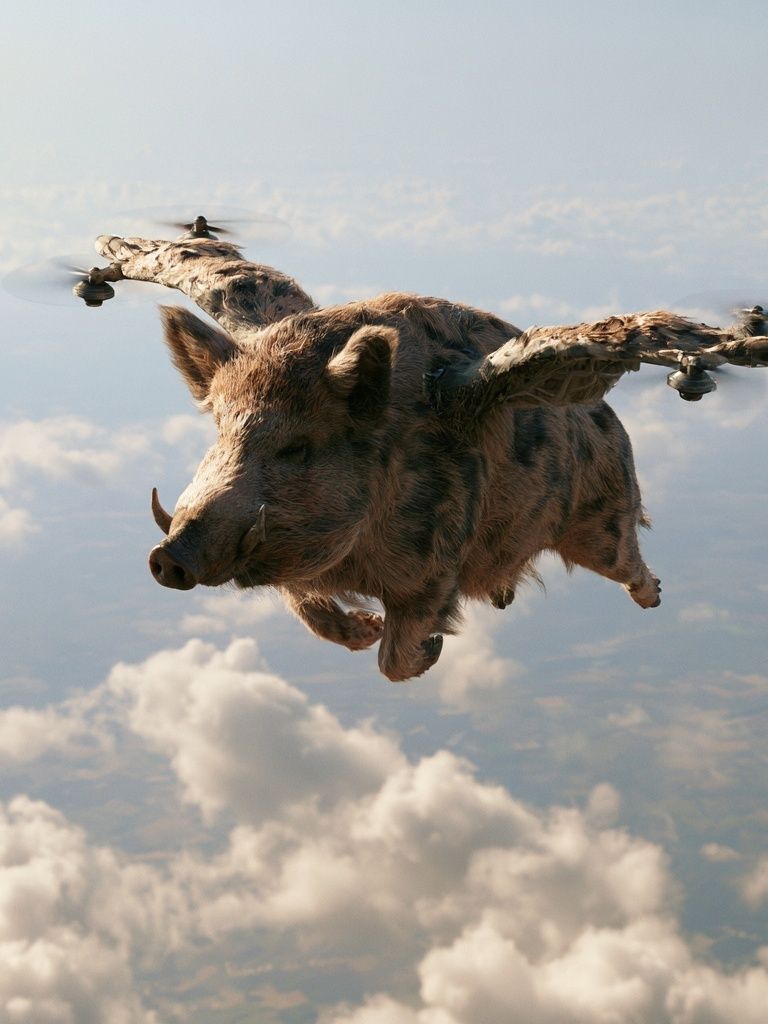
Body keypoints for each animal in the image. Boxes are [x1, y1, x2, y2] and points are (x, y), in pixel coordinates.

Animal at [148, 292, 660, 681]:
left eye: (296, 447)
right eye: (219, 430)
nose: (168, 557)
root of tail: (613, 422)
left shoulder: (434, 569)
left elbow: (393, 660)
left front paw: (429, 648)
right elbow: (310, 611)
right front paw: (369, 627)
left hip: (603, 519)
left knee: (627, 558)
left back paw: (653, 596)